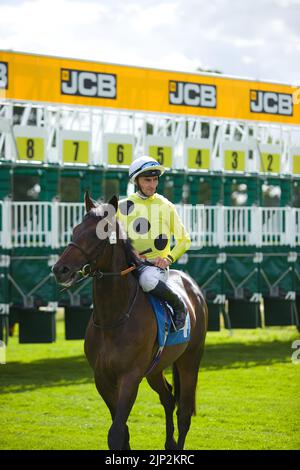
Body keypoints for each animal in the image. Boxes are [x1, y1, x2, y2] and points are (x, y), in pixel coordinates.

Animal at [52, 193, 207, 450]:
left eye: (98, 234)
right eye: (75, 230)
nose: (60, 269)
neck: (113, 318)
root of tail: (191, 285)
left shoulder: (130, 377)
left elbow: (115, 433)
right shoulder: (102, 378)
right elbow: (121, 431)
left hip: (190, 360)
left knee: (184, 412)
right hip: (156, 368)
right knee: (168, 397)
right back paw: (169, 443)